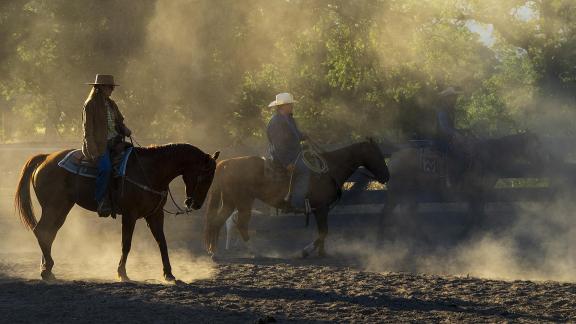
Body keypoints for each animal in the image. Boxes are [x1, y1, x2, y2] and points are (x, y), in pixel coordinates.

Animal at [15, 143, 219, 282]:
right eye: (204, 177)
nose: (196, 204)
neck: (150, 171)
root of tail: (46, 157)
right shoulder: (130, 214)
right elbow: (126, 244)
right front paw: (122, 273)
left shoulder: (155, 214)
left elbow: (162, 242)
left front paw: (169, 274)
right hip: (54, 206)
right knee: (42, 231)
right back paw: (47, 269)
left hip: (62, 207)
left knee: (48, 233)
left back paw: (47, 269)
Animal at [205, 140, 390, 256]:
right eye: (377, 154)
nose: (386, 176)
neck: (330, 169)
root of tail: (225, 164)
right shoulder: (321, 208)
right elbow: (323, 232)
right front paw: (304, 252)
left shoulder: (321, 210)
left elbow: (323, 231)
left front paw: (322, 253)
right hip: (243, 202)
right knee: (240, 225)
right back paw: (251, 251)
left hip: (230, 202)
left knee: (218, 221)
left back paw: (214, 251)